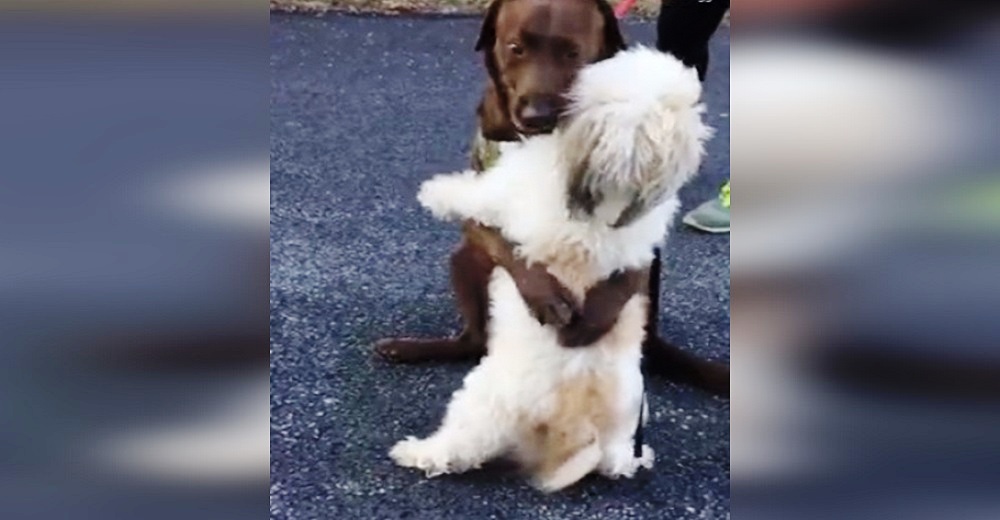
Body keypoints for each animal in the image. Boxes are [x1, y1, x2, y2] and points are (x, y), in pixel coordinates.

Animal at [376, 0, 728, 396]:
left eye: (572, 53)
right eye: (515, 48)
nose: (535, 116)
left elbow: (627, 261)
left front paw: (599, 310)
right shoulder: (483, 205)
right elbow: (506, 240)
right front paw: (544, 294)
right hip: (464, 260)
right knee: (474, 341)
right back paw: (411, 348)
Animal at [386, 47, 708, 492]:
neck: (615, 191)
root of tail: (581, 423)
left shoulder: (503, 192)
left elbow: (472, 194)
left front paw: (437, 191)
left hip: (483, 400)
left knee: (460, 448)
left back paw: (418, 452)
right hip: (628, 419)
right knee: (617, 458)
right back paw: (630, 460)